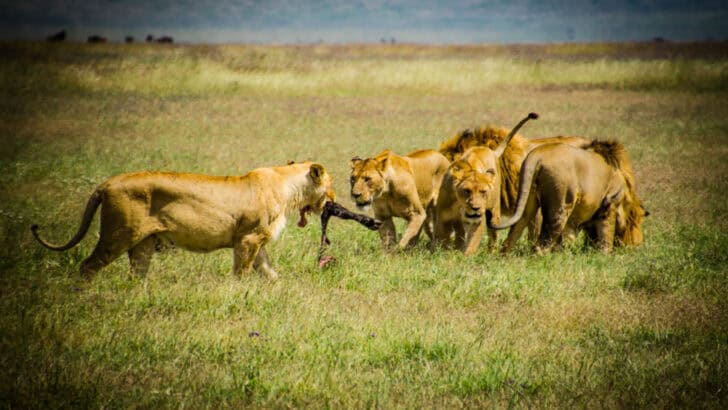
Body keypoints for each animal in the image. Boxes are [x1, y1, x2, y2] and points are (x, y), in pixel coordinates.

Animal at [29, 162, 334, 280]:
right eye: (330, 184)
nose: (334, 199)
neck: (288, 187)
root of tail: (107, 183)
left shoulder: (255, 241)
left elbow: (271, 273)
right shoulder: (248, 239)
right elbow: (242, 273)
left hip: (142, 245)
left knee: (135, 275)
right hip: (117, 235)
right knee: (88, 266)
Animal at [492, 141, 644, 253]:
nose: (634, 245)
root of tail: (537, 155)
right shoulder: (610, 201)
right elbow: (606, 234)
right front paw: (604, 256)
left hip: (528, 201)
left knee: (513, 235)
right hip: (561, 204)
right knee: (540, 246)